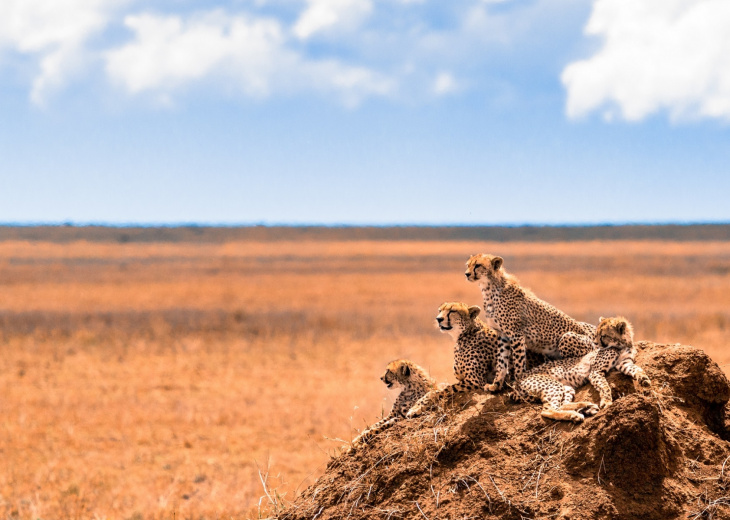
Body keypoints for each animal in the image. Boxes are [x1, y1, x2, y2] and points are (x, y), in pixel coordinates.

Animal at [404, 300, 544, 418]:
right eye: (440, 310)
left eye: (452, 311)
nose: (438, 319)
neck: (466, 334)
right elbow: (435, 389)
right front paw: (416, 406)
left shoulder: (476, 382)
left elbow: (439, 391)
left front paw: (415, 408)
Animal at [464, 254, 596, 384]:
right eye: (468, 265)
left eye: (477, 265)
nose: (466, 274)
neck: (488, 288)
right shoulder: (503, 335)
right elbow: (501, 361)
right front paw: (496, 384)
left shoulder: (516, 335)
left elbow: (518, 361)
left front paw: (518, 380)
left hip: (567, 337)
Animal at [512, 316, 648, 422]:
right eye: (597, 334)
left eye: (603, 335)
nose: (596, 344)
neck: (622, 345)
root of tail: (517, 379)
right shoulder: (595, 371)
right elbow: (605, 386)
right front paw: (607, 401)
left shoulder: (624, 363)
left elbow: (636, 369)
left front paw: (644, 379)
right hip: (553, 385)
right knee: (548, 410)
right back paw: (575, 414)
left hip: (567, 387)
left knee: (562, 405)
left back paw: (585, 407)